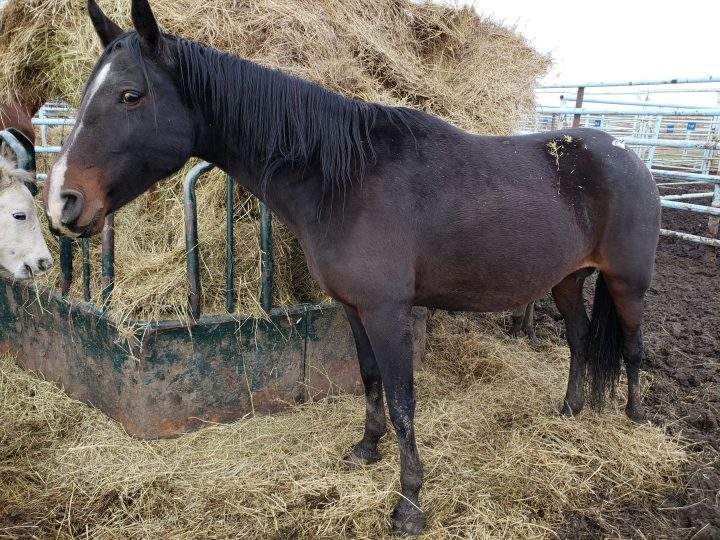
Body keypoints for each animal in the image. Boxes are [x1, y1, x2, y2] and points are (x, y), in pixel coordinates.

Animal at [42, 1, 661, 534]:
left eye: (130, 95)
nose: (64, 203)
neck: (344, 177)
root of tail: (629, 159)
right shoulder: (355, 309)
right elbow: (369, 378)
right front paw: (366, 449)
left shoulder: (388, 312)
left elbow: (404, 399)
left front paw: (409, 504)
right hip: (566, 280)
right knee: (580, 339)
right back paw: (570, 410)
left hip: (627, 282)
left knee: (631, 347)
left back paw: (633, 418)